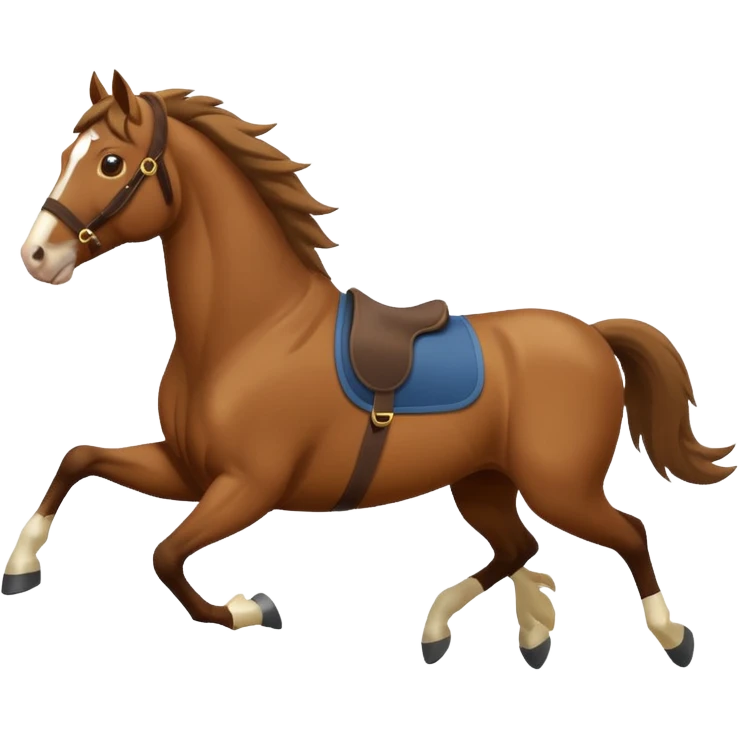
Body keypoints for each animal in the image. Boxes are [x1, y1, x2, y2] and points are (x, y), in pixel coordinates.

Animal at [9, 69, 736, 669]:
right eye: (67, 153)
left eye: (110, 162)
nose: (36, 254)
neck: (253, 331)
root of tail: (592, 334)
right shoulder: (187, 468)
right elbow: (78, 461)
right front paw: (19, 567)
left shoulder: (248, 485)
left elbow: (164, 555)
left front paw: (254, 608)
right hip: (483, 483)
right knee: (518, 548)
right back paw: (481, 631)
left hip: (561, 486)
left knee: (627, 533)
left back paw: (673, 637)